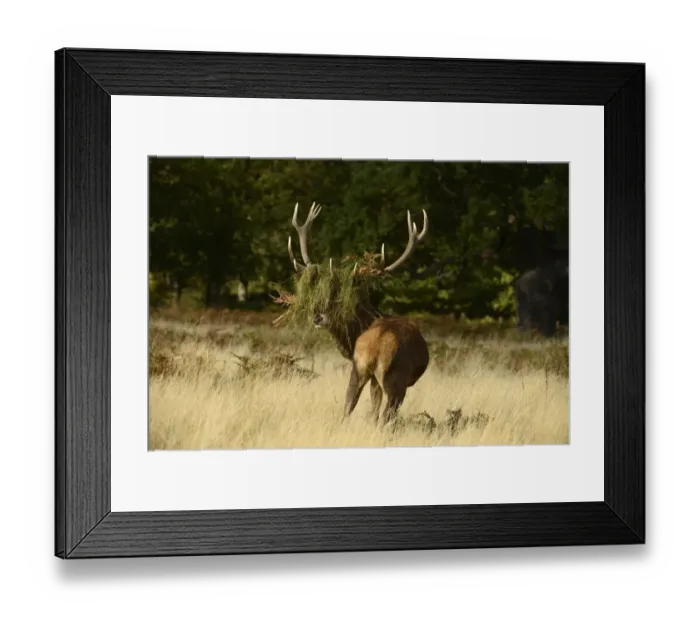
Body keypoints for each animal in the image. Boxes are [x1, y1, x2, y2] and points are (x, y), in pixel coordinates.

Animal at [284, 201, 430, 426]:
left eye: (338, 297)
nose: (317, 317)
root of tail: (375, 347)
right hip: (395, 378)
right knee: (386, 414)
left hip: (359, 368)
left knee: (349, 405)